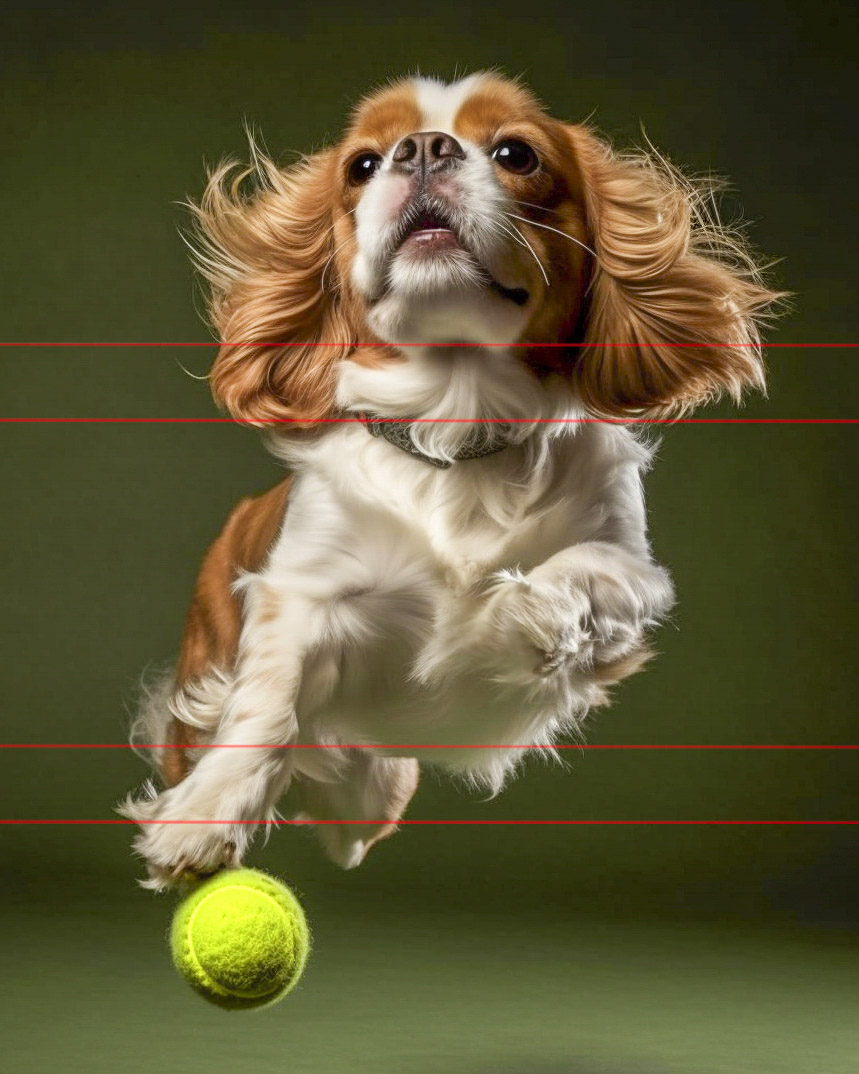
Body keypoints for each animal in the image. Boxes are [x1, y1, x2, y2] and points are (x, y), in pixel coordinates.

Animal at [122, 69, 785, 889]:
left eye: (515, 154)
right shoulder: (301, 590)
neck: (456, 426)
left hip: (376, 792)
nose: (424, 149)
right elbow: (267, 702)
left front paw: (522, 616)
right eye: (361, 166)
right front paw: (206, 815)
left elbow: (585, 572)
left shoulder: (633, 567)